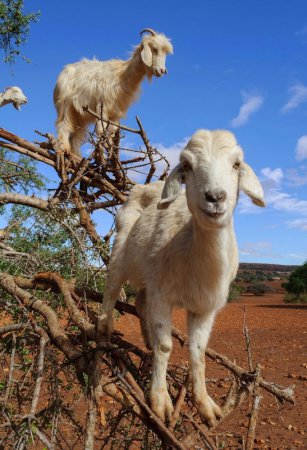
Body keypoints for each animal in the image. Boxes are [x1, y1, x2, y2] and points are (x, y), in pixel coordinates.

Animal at [100, 129, 266, 426]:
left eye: (236, 164)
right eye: (187, 166)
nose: (215, 196)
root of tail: (149, 186)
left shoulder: (205, 307)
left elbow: (198, 352)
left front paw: (205, 405)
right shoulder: (162, 297)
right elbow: (166, 346)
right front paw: (160, 400)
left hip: (149, 274)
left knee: (140, 302)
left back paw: (146, 338)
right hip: (121, 244)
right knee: (112, 285)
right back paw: (103, 325)